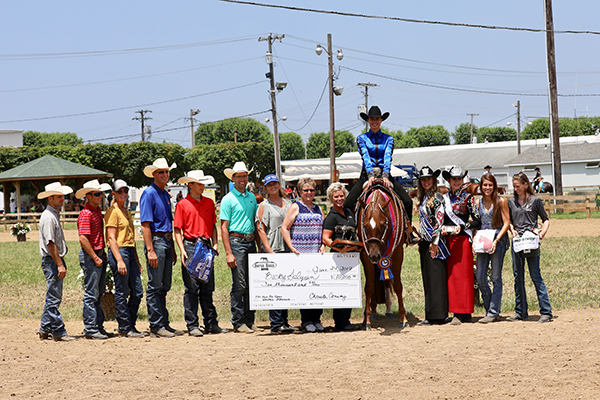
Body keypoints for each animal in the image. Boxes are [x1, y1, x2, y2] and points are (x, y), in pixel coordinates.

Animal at [356, 183, 408, 330]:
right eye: (364, 225)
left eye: (384, 223)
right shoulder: (365, 255)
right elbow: (369, 287)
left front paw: (403, 317)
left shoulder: (397, 254)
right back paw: (373, 311)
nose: (375, 255)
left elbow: (397, 285)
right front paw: (366, 320)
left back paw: (389, 310)